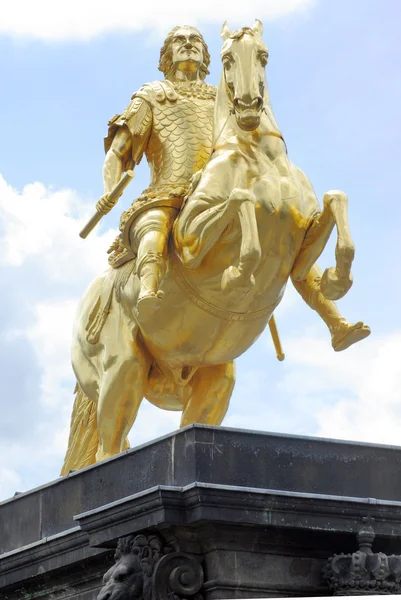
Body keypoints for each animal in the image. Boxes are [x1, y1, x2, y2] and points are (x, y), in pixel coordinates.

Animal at [61, 21, 364, 476]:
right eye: (225, 59)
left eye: (263, 55)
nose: (249, 106)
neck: (258, 155)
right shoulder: (190, 240)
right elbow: (241, 200)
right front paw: (239, 273)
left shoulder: (304, 232)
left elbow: (335, 202)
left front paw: (335, 280)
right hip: (123, 374)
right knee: (106, 451)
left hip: (213, 379)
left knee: (191, 420)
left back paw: (344, 330)